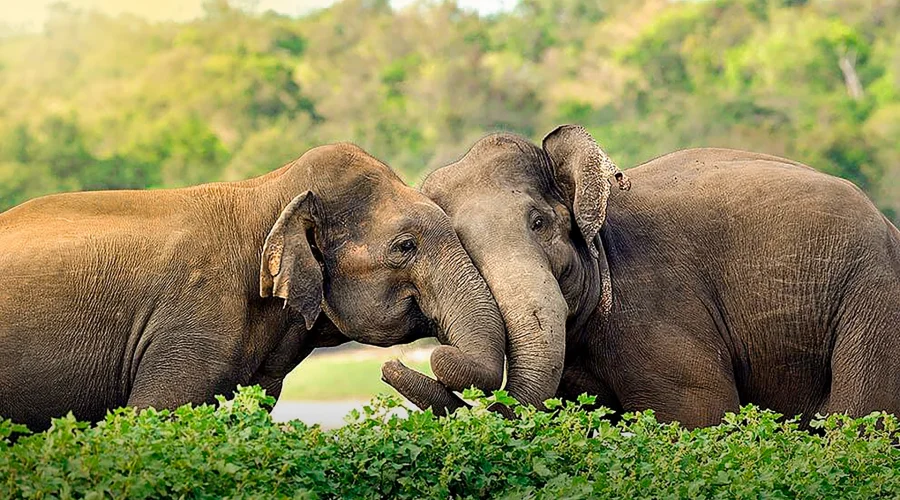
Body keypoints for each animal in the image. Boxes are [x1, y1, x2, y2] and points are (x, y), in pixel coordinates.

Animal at [384, 125, 900, 429]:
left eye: (539, 223)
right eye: (461, 244)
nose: (392, 367)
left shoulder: (658, 308)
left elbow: (698, 415)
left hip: (875, 298)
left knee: (859, 417)